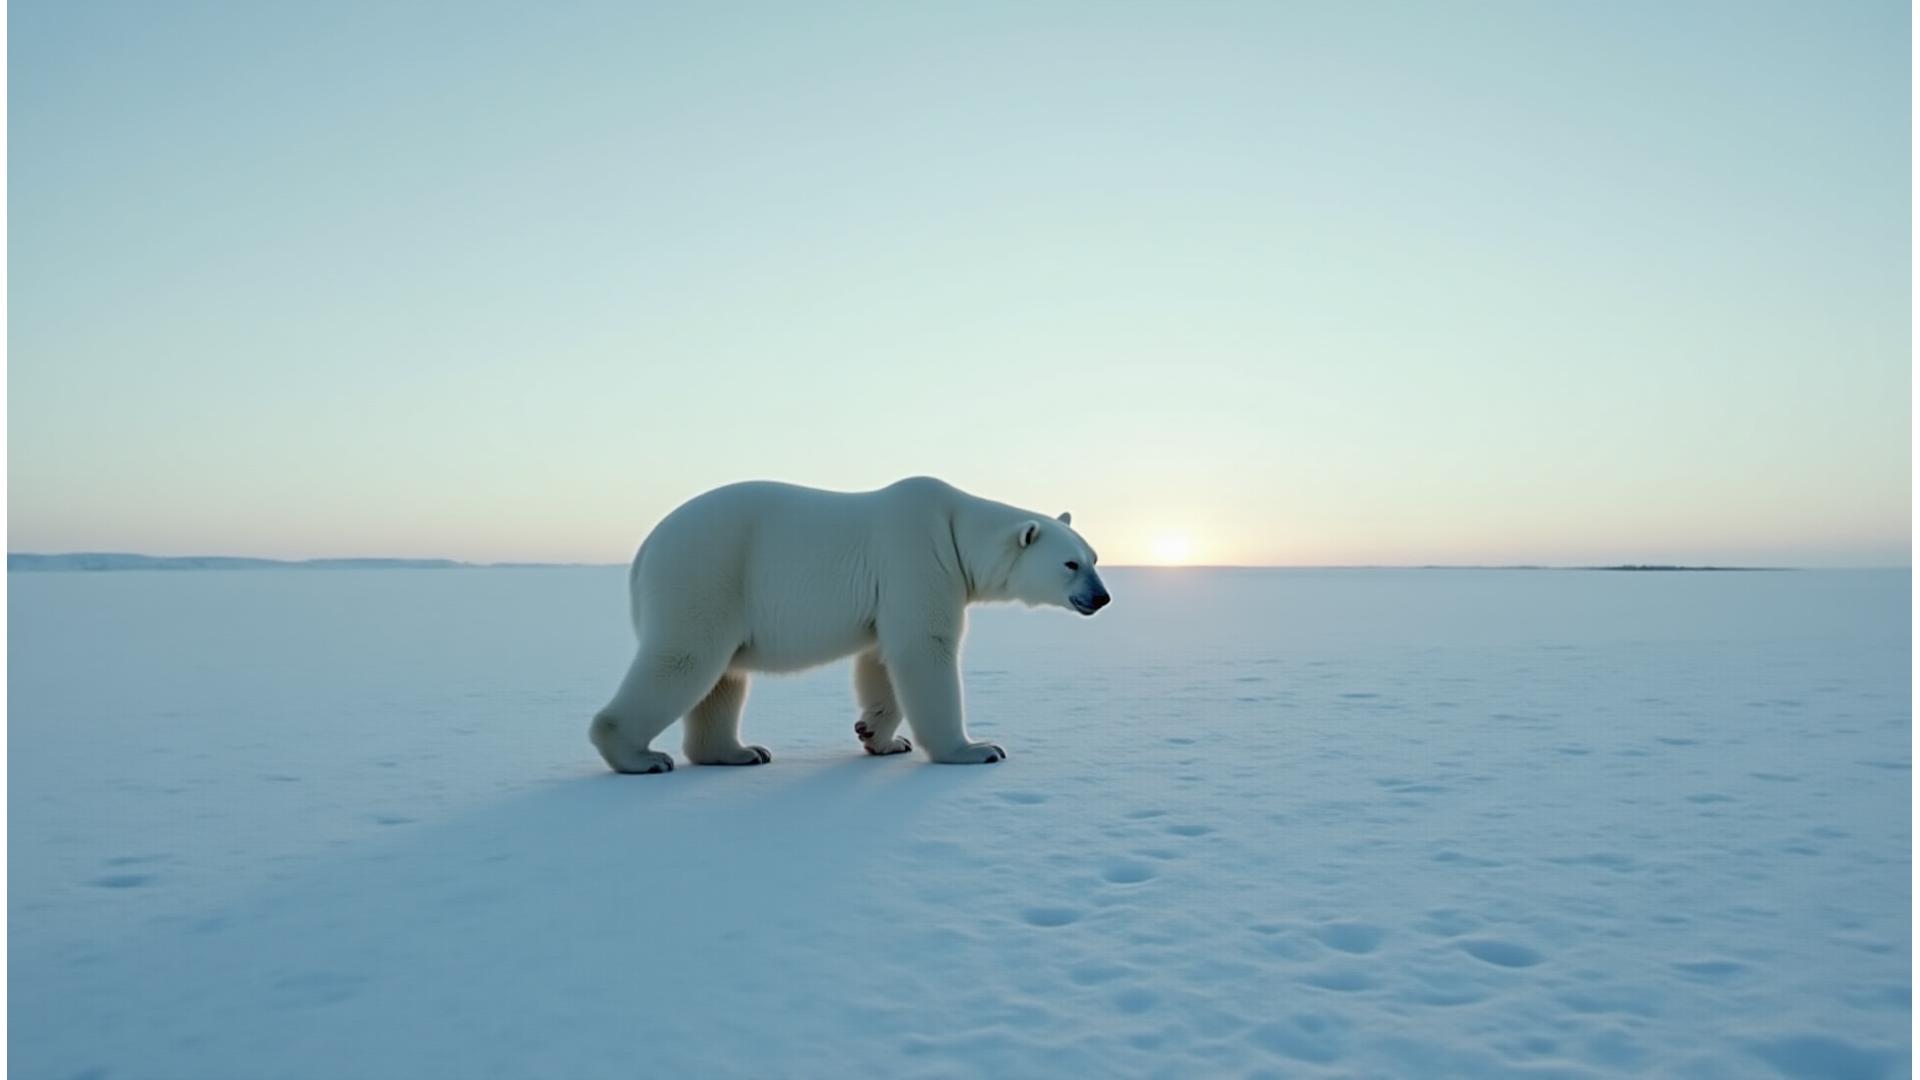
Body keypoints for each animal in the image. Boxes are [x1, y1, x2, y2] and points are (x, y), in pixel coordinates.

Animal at [589, 477, 1111, 773]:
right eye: (1070, 564)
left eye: (1094, 558)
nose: (1102, 597)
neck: (955, 531)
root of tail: (643, 552)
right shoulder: (917, 558)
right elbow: (924, 648)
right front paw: (976, 748)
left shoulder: (893, 588)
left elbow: (881, 660)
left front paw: (880, 737)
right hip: (705, 572)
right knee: (686, 659)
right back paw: (641, 757)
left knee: (724, 677)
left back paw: (740, 751)